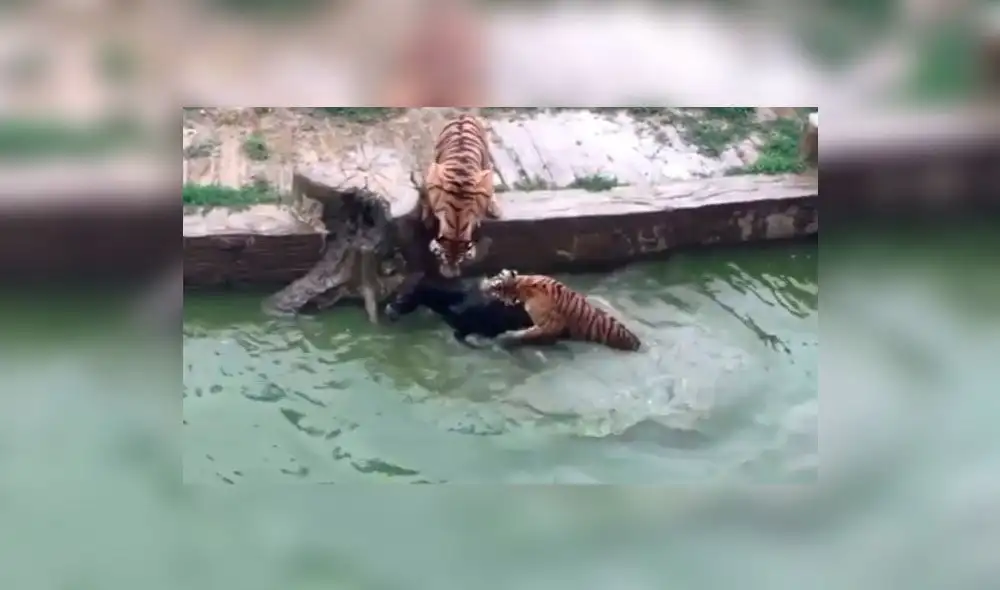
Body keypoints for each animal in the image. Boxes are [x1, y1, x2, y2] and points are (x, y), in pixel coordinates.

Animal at [421, 113, 502, 278]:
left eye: (460, 260)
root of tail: (463, 115)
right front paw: (427, 219)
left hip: (486, 164)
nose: (449, 276)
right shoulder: (433, 174)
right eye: (443, 257)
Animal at [479, 269, 642, 352]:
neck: (524, 287)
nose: (482, 285)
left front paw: (506, 337)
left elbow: (525, 333)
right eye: (496, 276)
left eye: (496, 287)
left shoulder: (550, 325)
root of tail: (638, 344)